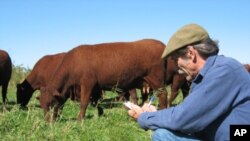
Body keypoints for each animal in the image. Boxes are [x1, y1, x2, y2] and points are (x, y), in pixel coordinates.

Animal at [39, 39, 168, 120]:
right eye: (41, 104)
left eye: (51, 103)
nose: (47, 121)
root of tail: (160, 44)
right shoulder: (96, 87)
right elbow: (96, 102)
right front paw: (100, 114)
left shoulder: (87, 83)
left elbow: (84, 103)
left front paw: (80, 119)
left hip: (156, 79)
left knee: (163, 95)